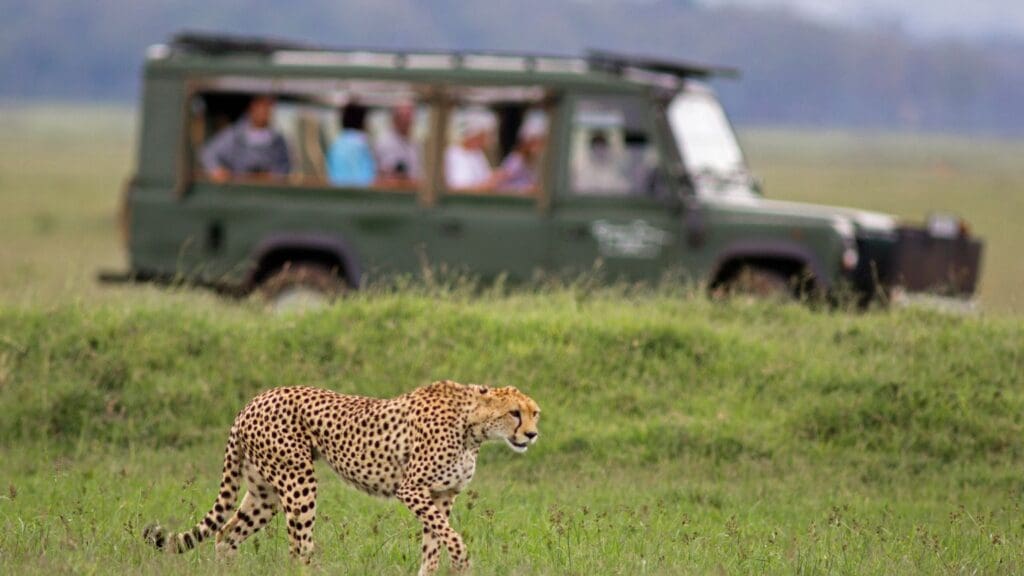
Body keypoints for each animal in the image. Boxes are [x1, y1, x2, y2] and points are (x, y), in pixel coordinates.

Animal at [144, 379, 544, 569]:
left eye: (534, 413)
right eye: (514, 413)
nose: (532, 435)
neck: (473, 426)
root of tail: (253, 401)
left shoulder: (441, 496)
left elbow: (434, 546)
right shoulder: (412, 490)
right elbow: (453, 539)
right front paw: (462, 562)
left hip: (264, 493)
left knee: (226, 535)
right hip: (299, 481)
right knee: (298, 548)